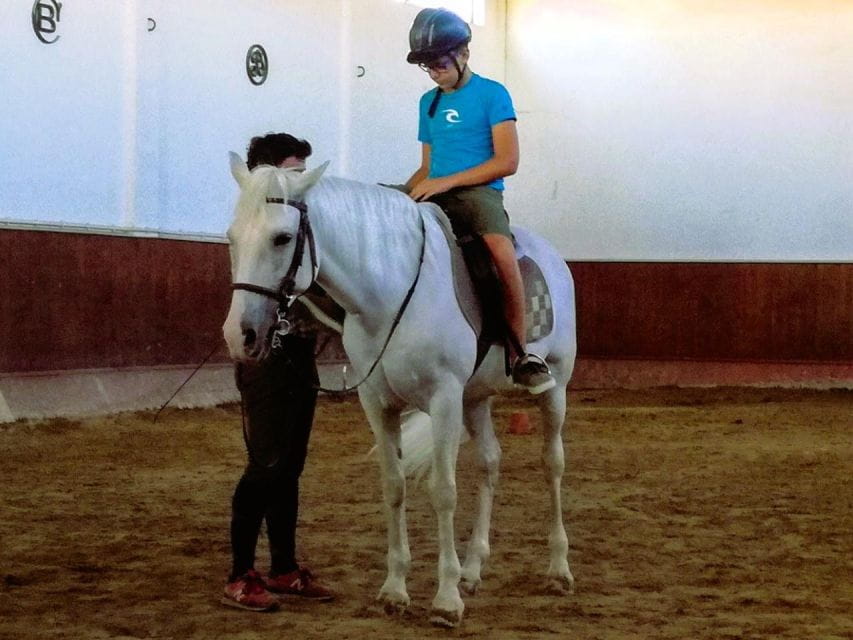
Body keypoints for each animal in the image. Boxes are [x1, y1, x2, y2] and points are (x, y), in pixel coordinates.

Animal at [222, 153, 577, 627]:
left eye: (282, 238)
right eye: (232, 238)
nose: (238, 335)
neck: (389, 294)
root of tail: (552, 255)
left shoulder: (443, 399)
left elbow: (444, 492)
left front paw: (446, 599)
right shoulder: (378, 403)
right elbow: (394, 486)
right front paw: (395, 590)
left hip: (553, 390)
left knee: (551, 464)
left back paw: (558, 569)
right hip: (475, 399)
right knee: (490, 462)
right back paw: (473, 568)